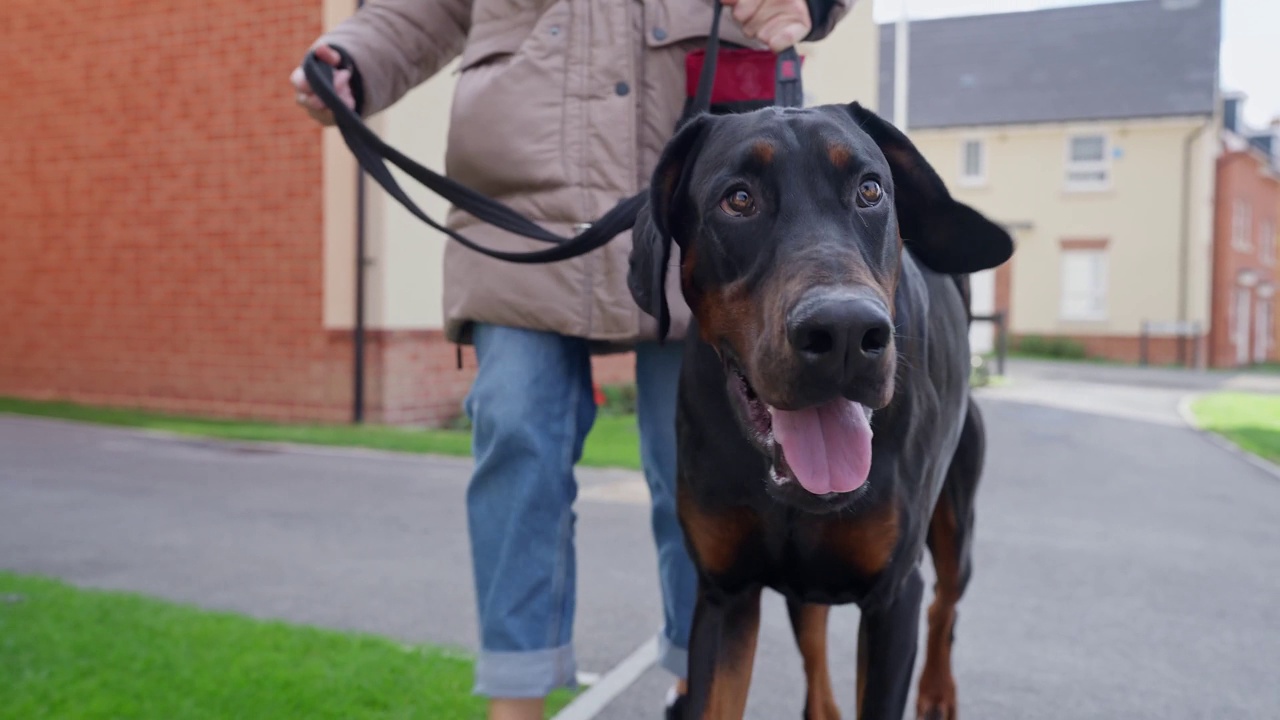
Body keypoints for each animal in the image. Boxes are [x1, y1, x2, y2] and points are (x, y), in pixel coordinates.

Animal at [627, 102, 1008, 717]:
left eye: (870, 189)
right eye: (738, 199)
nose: (846, 331)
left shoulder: (891, 598)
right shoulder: (725, 594)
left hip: (956, 518)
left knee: (945, 602)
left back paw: (936, 692)